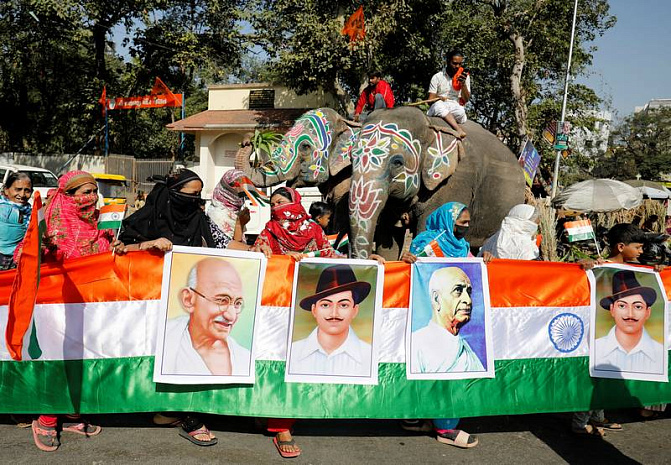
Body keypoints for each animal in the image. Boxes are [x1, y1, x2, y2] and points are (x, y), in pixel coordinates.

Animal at [350, 105, 528, 260]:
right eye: (352, 156)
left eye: (398, 163)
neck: (430, 125)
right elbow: (388, 236)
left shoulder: (454, 182)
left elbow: (427, 227)